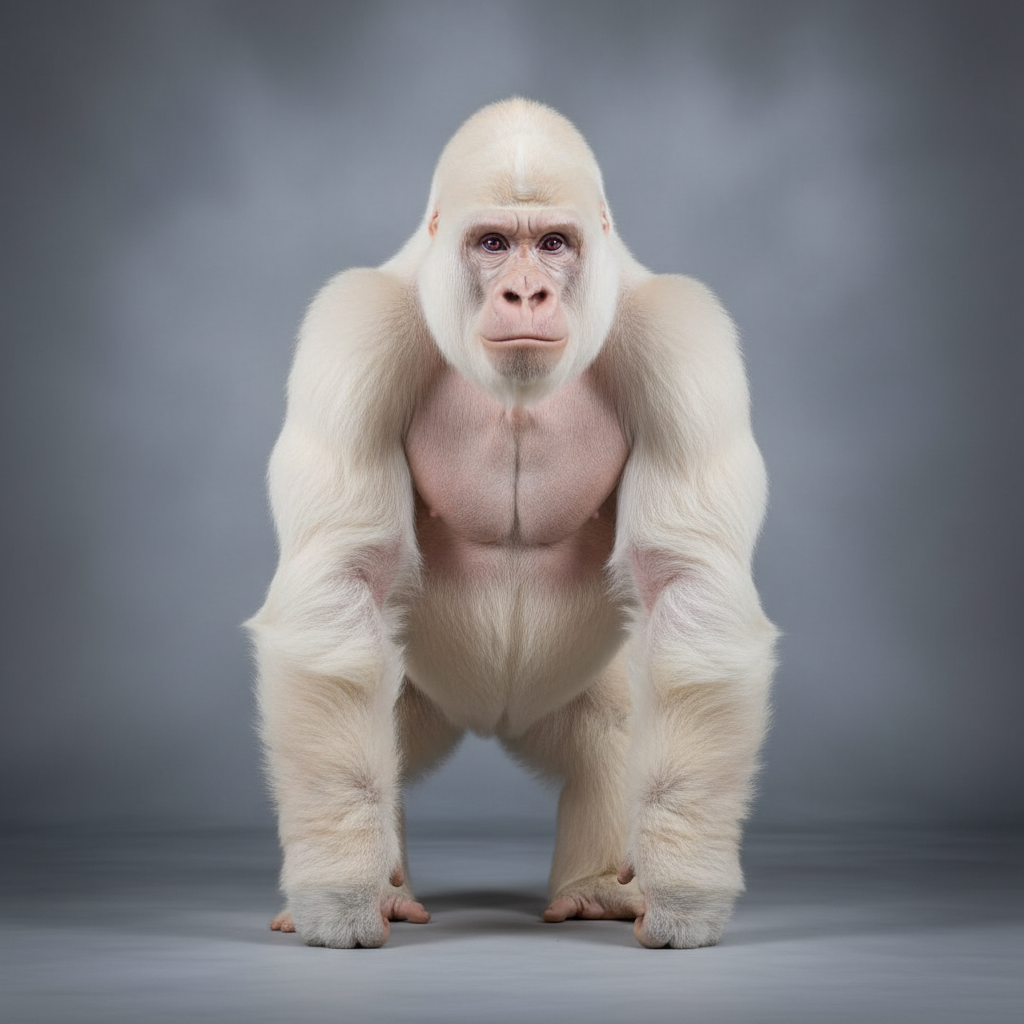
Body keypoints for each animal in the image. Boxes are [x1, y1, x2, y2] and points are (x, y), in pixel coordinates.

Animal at [247, 98, 778, 950]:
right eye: (494, 244)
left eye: (553, 244)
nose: (525, 295)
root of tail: (491, 724)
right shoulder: (354, 331)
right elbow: (342, 575)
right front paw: (341, 893)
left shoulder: (683, 339)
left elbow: (690, 584)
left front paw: (686, 891)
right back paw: (385, 883)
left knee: (618, 724)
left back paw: (596, 887)